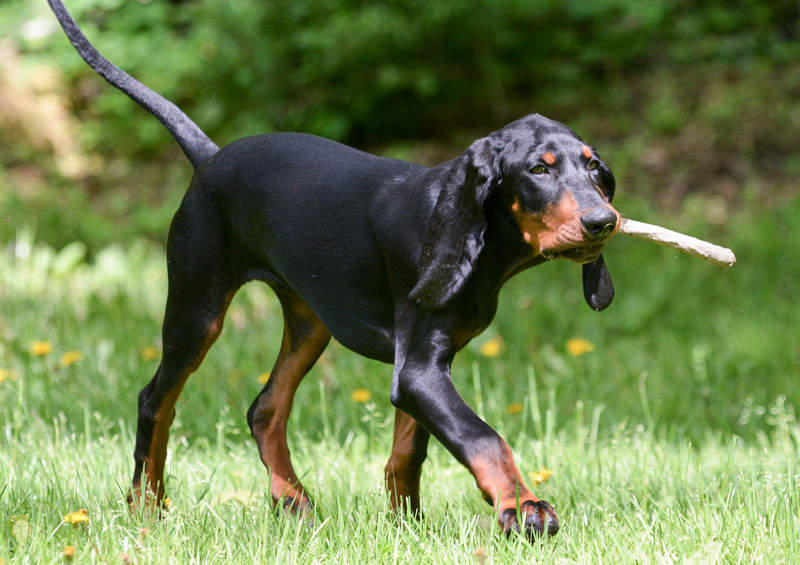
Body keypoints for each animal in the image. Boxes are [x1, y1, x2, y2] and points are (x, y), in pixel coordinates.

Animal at [51, 0, 620, 536]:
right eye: (539, 169)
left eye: (594, 168)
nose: (603, 222)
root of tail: (210, 157)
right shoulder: (419, 368)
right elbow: (483, 435)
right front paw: (523, 508)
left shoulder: (421, 364)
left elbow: (410, 449)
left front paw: (407, 525)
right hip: (197, 307)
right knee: (156, 400)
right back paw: (146, 507)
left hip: (310, 321)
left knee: (265, 409)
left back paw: (291, 499)